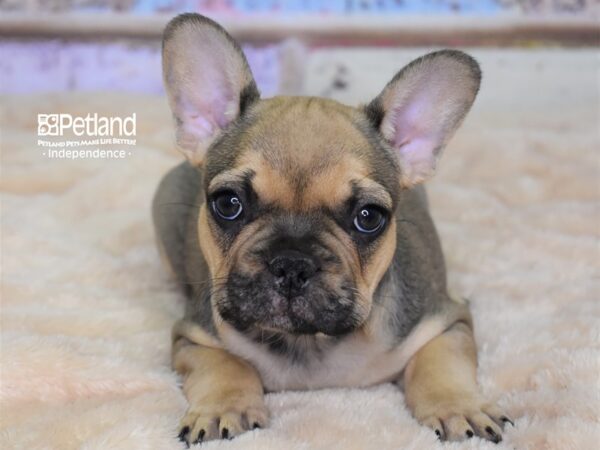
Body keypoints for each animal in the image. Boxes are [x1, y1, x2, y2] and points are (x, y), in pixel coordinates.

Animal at [154, 13, 510, 446]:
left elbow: (441, 363)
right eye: (228, 204)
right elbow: (225, 364)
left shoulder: (445, 320)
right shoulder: (193, 334)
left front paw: (459, 406)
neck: (309, 341)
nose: (291, 263)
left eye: (369, 217)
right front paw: (224, 406)